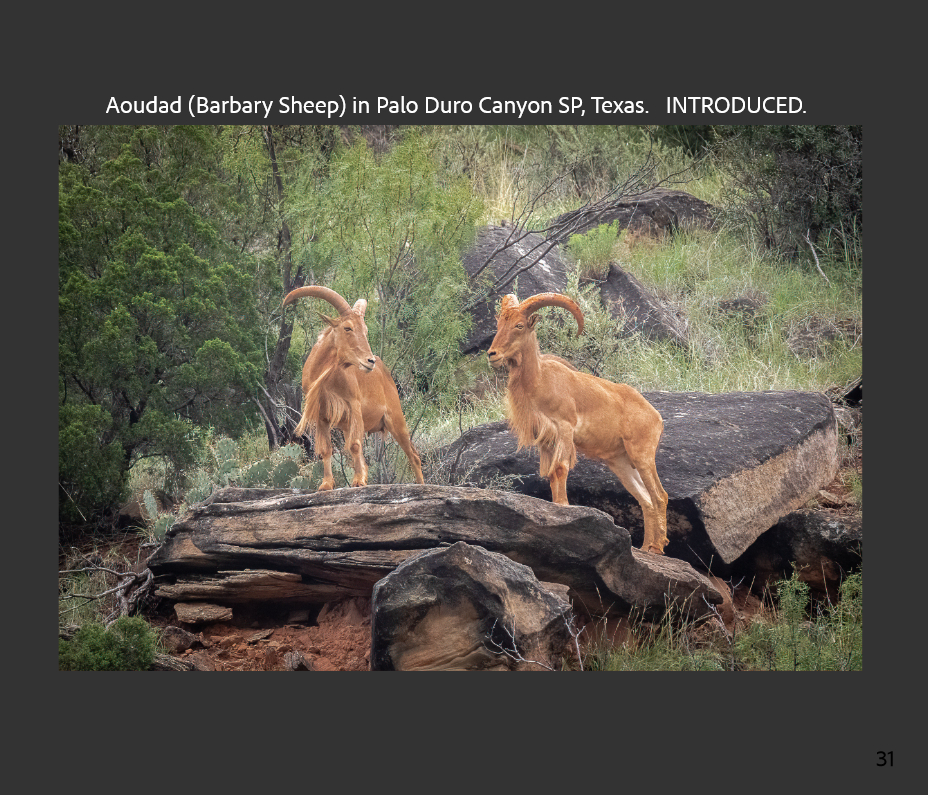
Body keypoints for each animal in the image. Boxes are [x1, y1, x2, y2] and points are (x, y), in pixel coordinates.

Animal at [282, 285, 425, 491]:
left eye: (365, 330)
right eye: (347, 327)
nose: (370, 361)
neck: (326, 376)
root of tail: (386, 373)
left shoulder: (354, 406)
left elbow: (355, 446)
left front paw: (357, 481)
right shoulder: (322, 415)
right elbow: (326, 449)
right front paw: (326, 484)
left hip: (395, 418)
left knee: (413, 454)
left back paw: (421, 485)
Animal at [487, 292, 669, 554]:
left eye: (519, 325)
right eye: (500, 323)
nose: (492, 354)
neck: (539, 380)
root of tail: (656, 417)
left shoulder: (565, 427)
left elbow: (560, 468)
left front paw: (563, 507)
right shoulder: (546, 439)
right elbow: (550, 474)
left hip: (642, 454)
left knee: (659, 496)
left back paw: (656, 547)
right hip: (621, 463)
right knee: (645, 499)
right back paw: (644, 548)